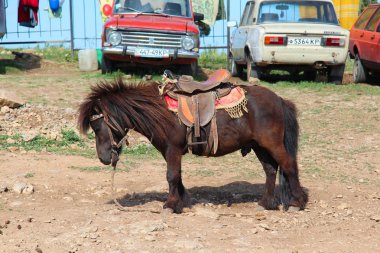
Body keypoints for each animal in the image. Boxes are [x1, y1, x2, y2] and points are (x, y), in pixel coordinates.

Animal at [78, 79, 308, 213]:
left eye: (97, 126)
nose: (104, 158)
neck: (159, 111)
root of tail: (279, 99)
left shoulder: (172, 149)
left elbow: (171, 176)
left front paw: (170, 205)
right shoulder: (170, 151)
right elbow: (177, 176)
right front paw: (182, 201)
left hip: (272, 143)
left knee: (288, 166)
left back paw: (296, 203)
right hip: (259, 145)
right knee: (270, 169)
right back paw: (266, 203)